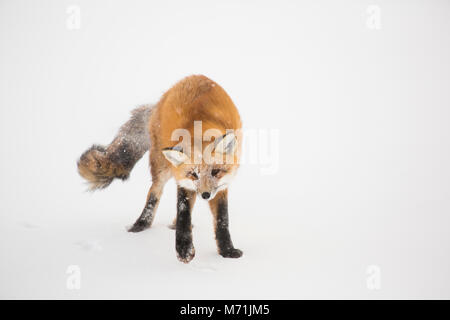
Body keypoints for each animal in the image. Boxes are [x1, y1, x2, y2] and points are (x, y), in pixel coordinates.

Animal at [79, 75, 244, 262]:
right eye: (194, 174)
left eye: (215, 172)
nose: (206, 195)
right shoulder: (184, 181)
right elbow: (183, 213)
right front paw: (184, 249)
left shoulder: (222, 186)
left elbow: (222, 220)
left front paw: (227, 251)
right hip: (163, 168)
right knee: (154, 192)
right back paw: (142, 223)